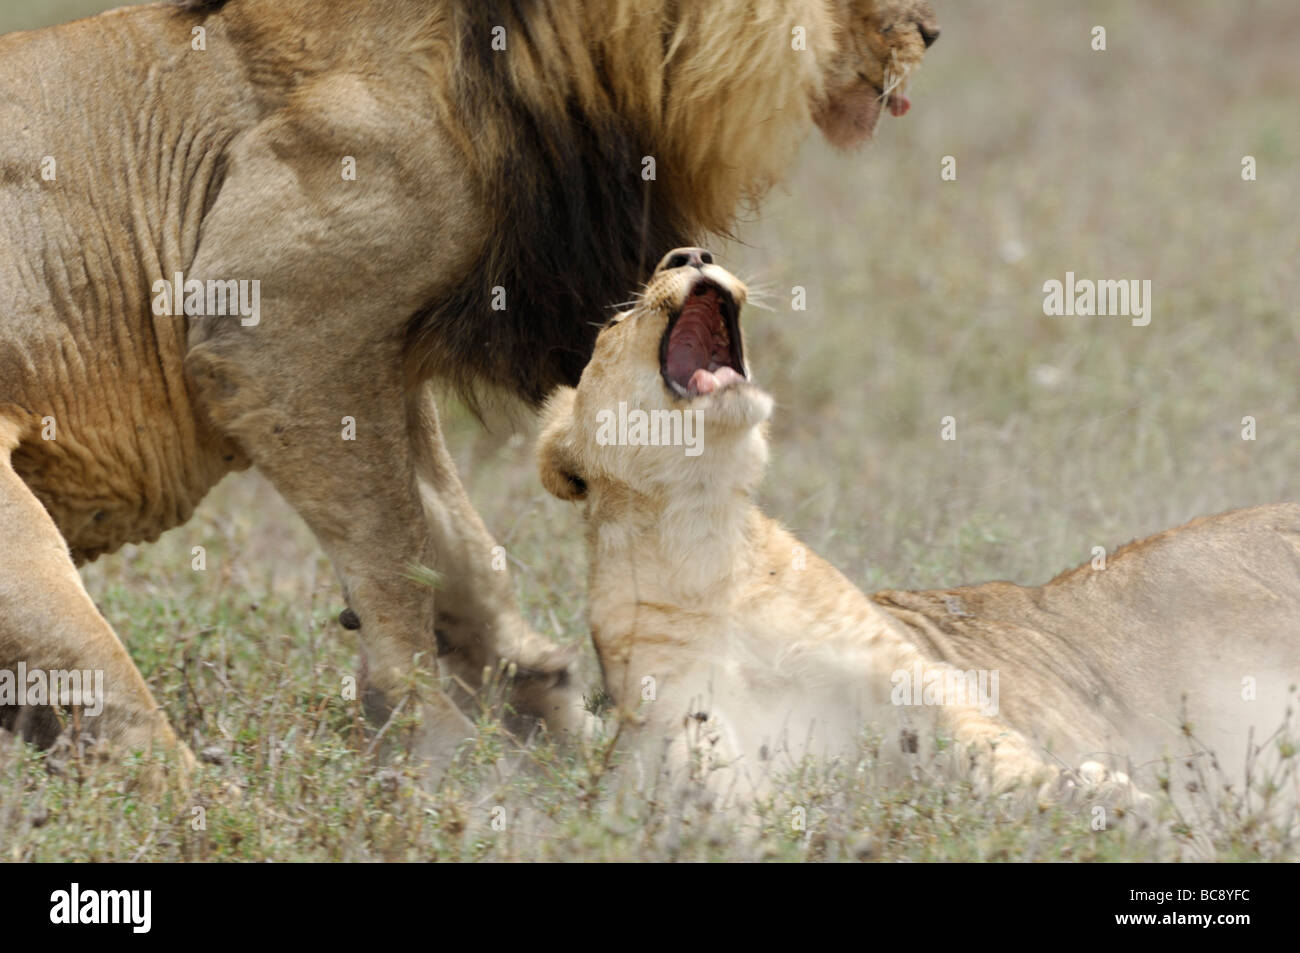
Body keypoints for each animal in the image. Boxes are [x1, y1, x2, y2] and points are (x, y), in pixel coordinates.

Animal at [0, 0, 938, 779]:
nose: (930, 33)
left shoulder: (375, 351)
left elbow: (455, 544)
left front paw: (552, 716)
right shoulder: (273, 323)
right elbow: (393, 558)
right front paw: (440, 752)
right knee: (118, 716)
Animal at [536, 251, 1300, 802]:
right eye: (612, 326)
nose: (691, 251)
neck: (704, 535)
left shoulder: (908, 672)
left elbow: (989, 743)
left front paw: (1093, 797)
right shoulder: (684, 723)